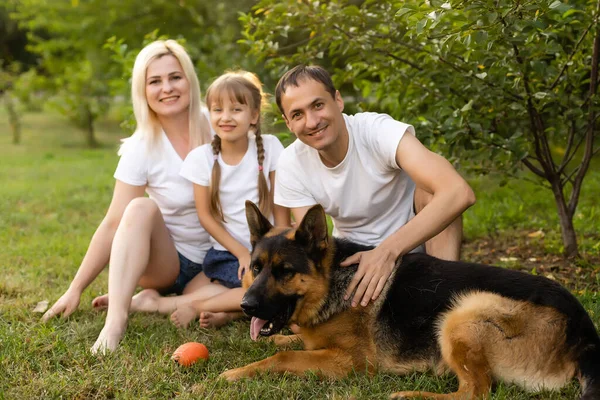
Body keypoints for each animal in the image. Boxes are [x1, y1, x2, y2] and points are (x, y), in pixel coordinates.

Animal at [220, 203, 600, 400]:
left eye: (285, 272)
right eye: (256, 268)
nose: (246, 306)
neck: (330, 282)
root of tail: (586, 333)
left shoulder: (352, 362)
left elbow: (283, 356)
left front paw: (237, 372)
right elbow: (290, 342)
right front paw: (277, 340)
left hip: (462, 312)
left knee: (475, 392)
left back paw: (411, 396)